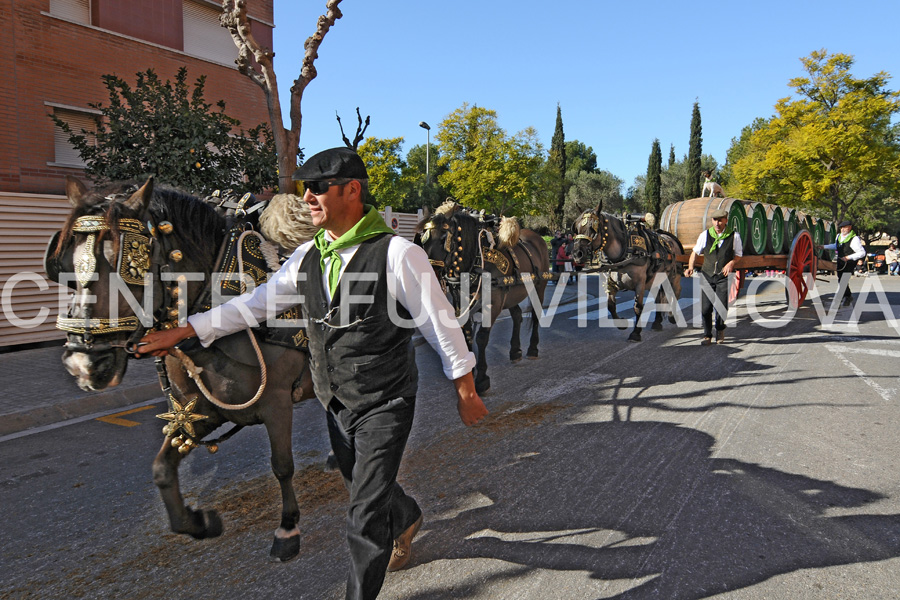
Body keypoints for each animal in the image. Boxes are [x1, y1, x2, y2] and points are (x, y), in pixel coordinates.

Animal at [48, 177, 320, 564]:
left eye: (128, 266)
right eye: (67, 267)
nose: (82, 364)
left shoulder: (277, 403)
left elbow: (282, 465)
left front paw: (287, 527)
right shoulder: (195, 412)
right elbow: (162, 469)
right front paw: (199, 522)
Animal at [414, 204, 548, 396]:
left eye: (443, 239)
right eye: (422, 240)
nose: (426, 272)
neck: (475, 261)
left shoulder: (493, 305)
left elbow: (481, 338)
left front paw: (482, 378)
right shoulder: (460, 304)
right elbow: (467, 335)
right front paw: (469, 370)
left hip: (539, 287)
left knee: (535, 315)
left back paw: (533, 348)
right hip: (512, 293)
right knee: (517, 315)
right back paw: (515, 351)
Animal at [568, 205, 684, 342]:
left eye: (593, 228)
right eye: (577, 228)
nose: (577, 254)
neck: (623, 254)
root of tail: (671, 238)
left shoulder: (640, 284)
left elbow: (637, 307)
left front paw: (636, 333)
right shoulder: (611, 284)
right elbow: (610, 305)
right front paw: (622, 324)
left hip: (674, 275)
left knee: (676, 291)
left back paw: (672, 315)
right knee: (659, 298)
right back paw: (657, 322)